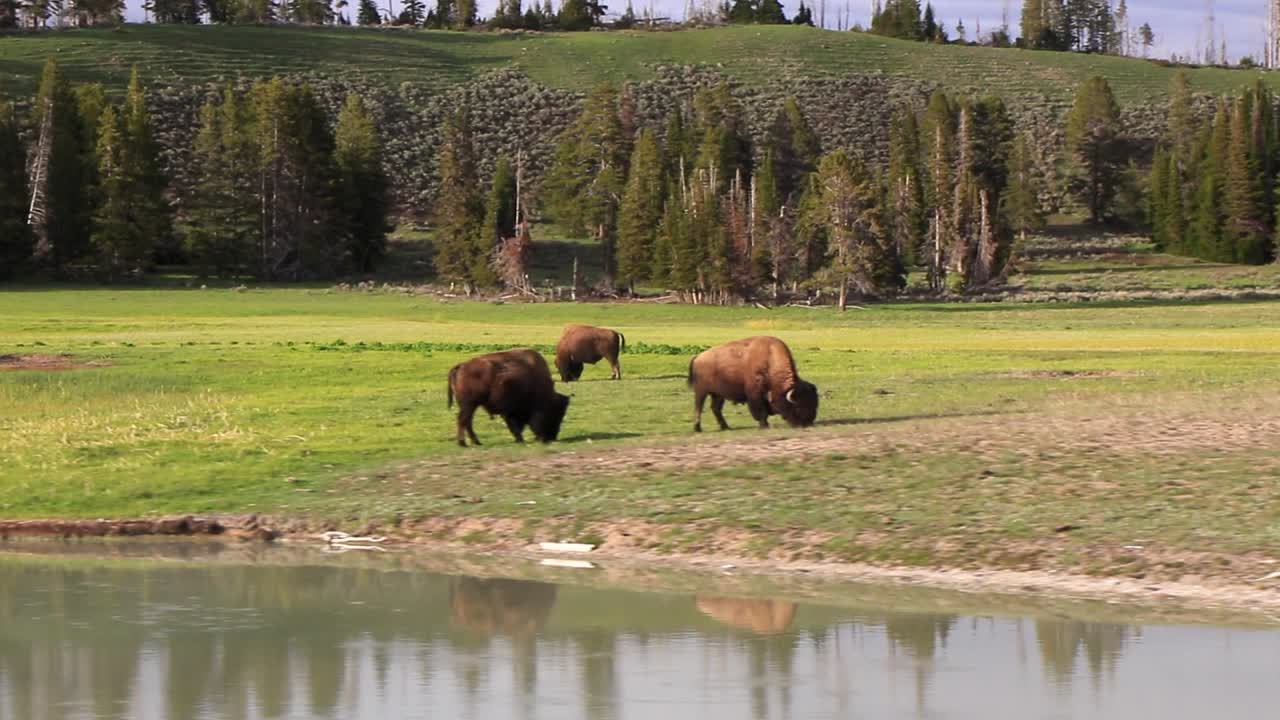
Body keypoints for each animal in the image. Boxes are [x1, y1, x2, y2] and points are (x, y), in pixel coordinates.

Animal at [687, 336, 819, 432]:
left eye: (814, 404)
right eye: (798, 406)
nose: (807, 423)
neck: (770, 361)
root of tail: (697, 357)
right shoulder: (755, 395)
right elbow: (760, 411)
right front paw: (764, 425)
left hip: (718, 394)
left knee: (716, 408)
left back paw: (726, 427)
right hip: (701, 391)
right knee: (698, 407)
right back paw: (698, 428)